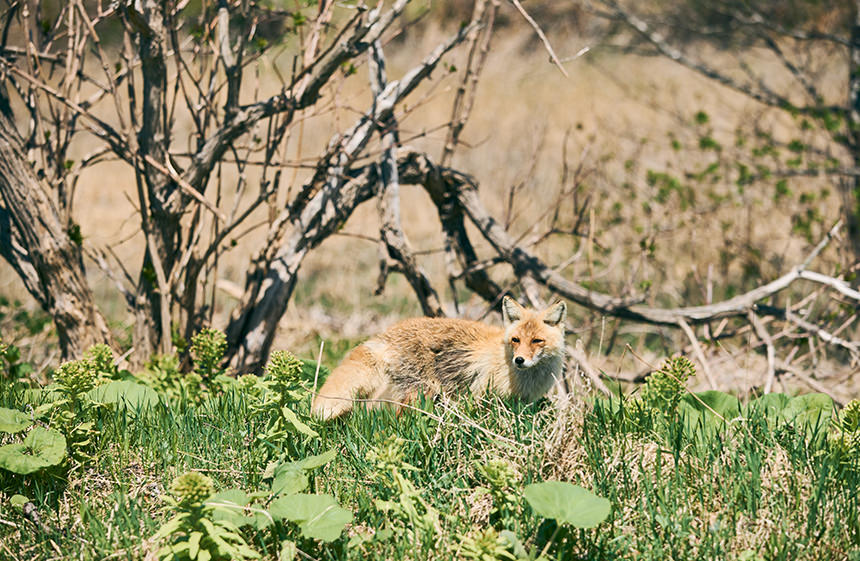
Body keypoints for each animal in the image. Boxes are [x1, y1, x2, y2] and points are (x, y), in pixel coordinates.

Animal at [312, 296, 568, 418]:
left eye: (537, 341)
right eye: (516, 340)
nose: (519, 360)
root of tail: (386, 333)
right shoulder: (484, 395)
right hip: (420, 392)